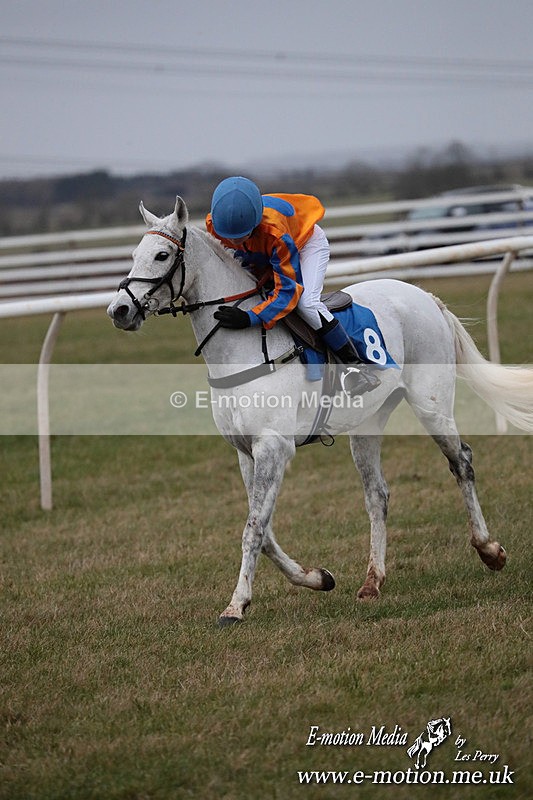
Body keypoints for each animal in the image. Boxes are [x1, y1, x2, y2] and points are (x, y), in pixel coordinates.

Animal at [107, 196, 533, 626]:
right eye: (134, 255)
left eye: (161, 255)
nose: (119, 310)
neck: (242, 346)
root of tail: (424, 296)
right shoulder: (246, 452)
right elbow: (264, 531)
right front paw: (316, 577)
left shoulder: (273, 448)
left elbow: (254, 527)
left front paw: (236, 604)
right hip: (367, 424)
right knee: (377, 494)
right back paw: (372, 581)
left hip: (432, 404)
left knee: (461, 462)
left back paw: (489, 550)